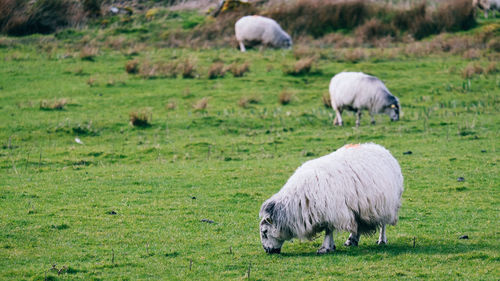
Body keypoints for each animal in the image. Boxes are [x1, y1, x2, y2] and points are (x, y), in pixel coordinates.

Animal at [260, 142, 404, 254]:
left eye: (265, 232)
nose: (267, 251)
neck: (299, 201)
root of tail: (382, 149)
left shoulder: (331, 211)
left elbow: (328, 230)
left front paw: (325, 248)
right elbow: (329, 230)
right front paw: (331, 246)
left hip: (387, 203)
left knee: (383, 224)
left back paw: (381, 240)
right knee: (357, 224)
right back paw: (351, 240)